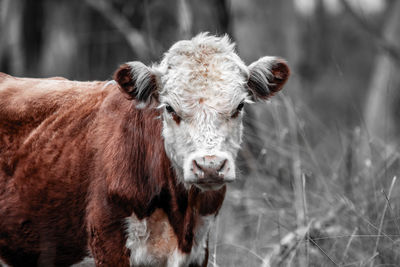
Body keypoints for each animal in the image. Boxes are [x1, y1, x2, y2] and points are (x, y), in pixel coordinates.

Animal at [0, 34, 290, 267]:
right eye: (169, 107)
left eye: (239, 106)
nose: (209, 166)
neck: (178, 217)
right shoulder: (109, 246)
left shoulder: (199, 250)